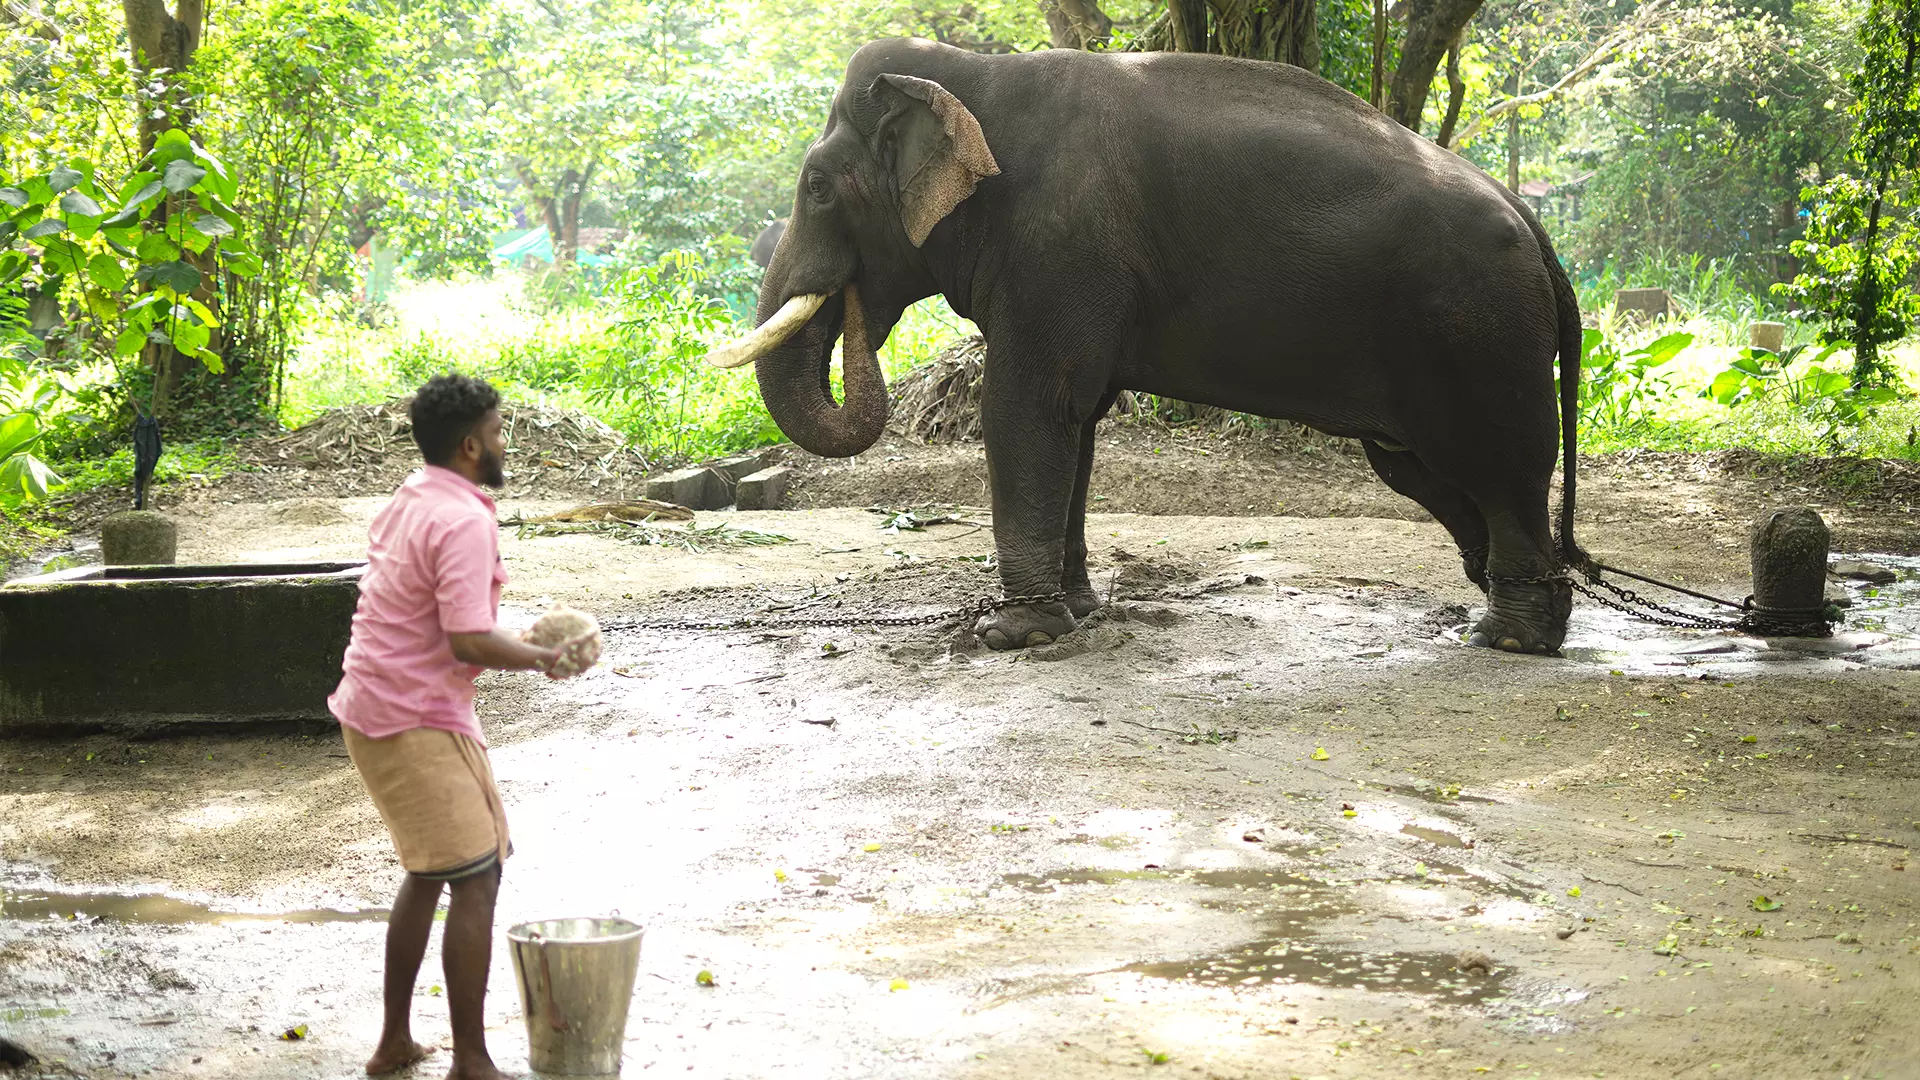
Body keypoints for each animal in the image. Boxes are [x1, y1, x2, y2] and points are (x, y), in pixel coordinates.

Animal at [706, 37, 1589, 653]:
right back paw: (1525, 612)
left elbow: (1025, 408)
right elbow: (1078, 423)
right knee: (1425, 470)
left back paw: (1507, 636)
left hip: (1477, 333)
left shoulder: (1058, 251)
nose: (854, 301)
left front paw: (1011, 637)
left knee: (1496, 466)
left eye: (817, 186)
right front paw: (1077, 612)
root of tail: (1539, 231)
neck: (977, 78)